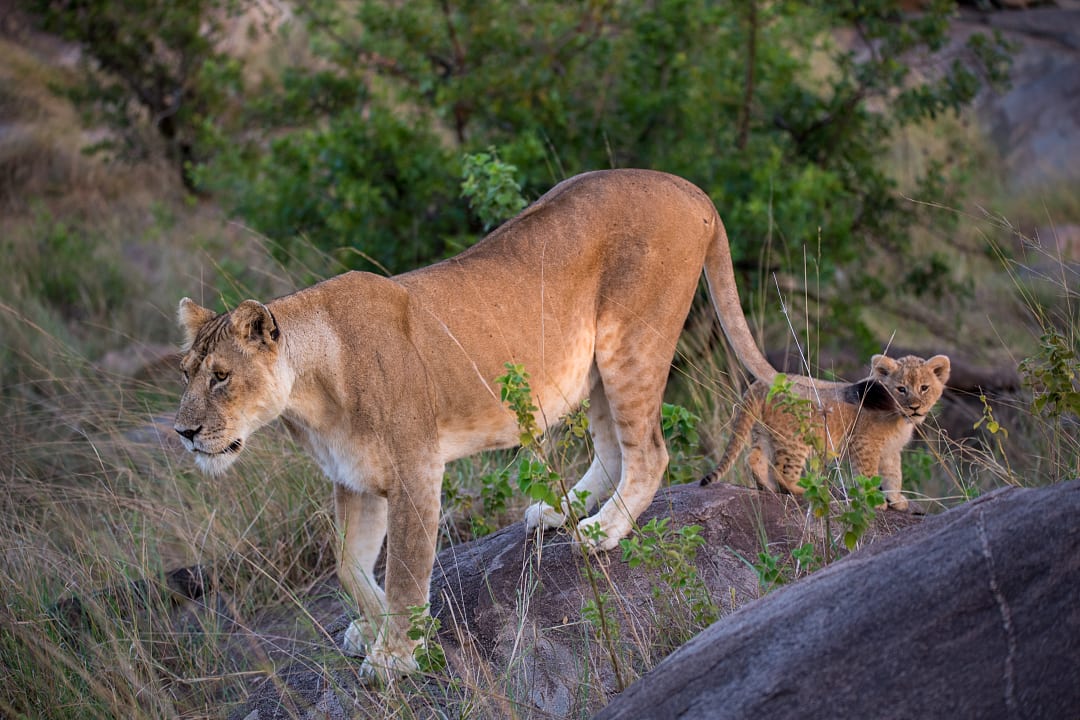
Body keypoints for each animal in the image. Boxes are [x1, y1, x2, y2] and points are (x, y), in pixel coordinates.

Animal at [173, 169, 781, 680]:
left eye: (221, 376)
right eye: (186, 373)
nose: (183, 432)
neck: (311, 395)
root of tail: (690, 188)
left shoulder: (416, 471)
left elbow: (405, 570)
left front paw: (395, 655)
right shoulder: (352, 479)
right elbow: (349, 565)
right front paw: (370, 628)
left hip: (631, 343)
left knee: (649, 450)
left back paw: (602, 531)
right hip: (596, 365)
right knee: (613, 446)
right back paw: (558, 512)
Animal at [700, 354, 951, 510]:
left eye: (924, 388)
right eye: (901, 389)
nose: (915, 407)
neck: (899, 418)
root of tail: (759, 384)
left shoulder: (890, 451)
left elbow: (894, 475)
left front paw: (896, 500)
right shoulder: (864, 443)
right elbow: (868, 474)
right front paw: (875, 501)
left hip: (764, 432)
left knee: (753, 458)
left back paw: (767, 489)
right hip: (796, 438)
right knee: (782, 470)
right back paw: (803, 490)